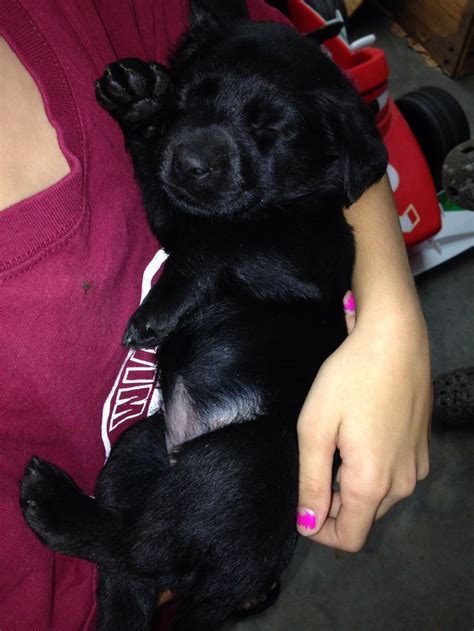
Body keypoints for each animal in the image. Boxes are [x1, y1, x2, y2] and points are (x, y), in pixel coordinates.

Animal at [20, 2, 386, 628]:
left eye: (271, 130)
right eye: (188, 98)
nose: (190, 160)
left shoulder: (303, 256)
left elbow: (222, 238)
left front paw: (157, 309)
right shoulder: (174, 208)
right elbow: (168, 194)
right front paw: (141, 103)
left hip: (242, 458)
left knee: (143, 549)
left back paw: (53, 503)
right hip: (138, 449)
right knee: (134, 564)